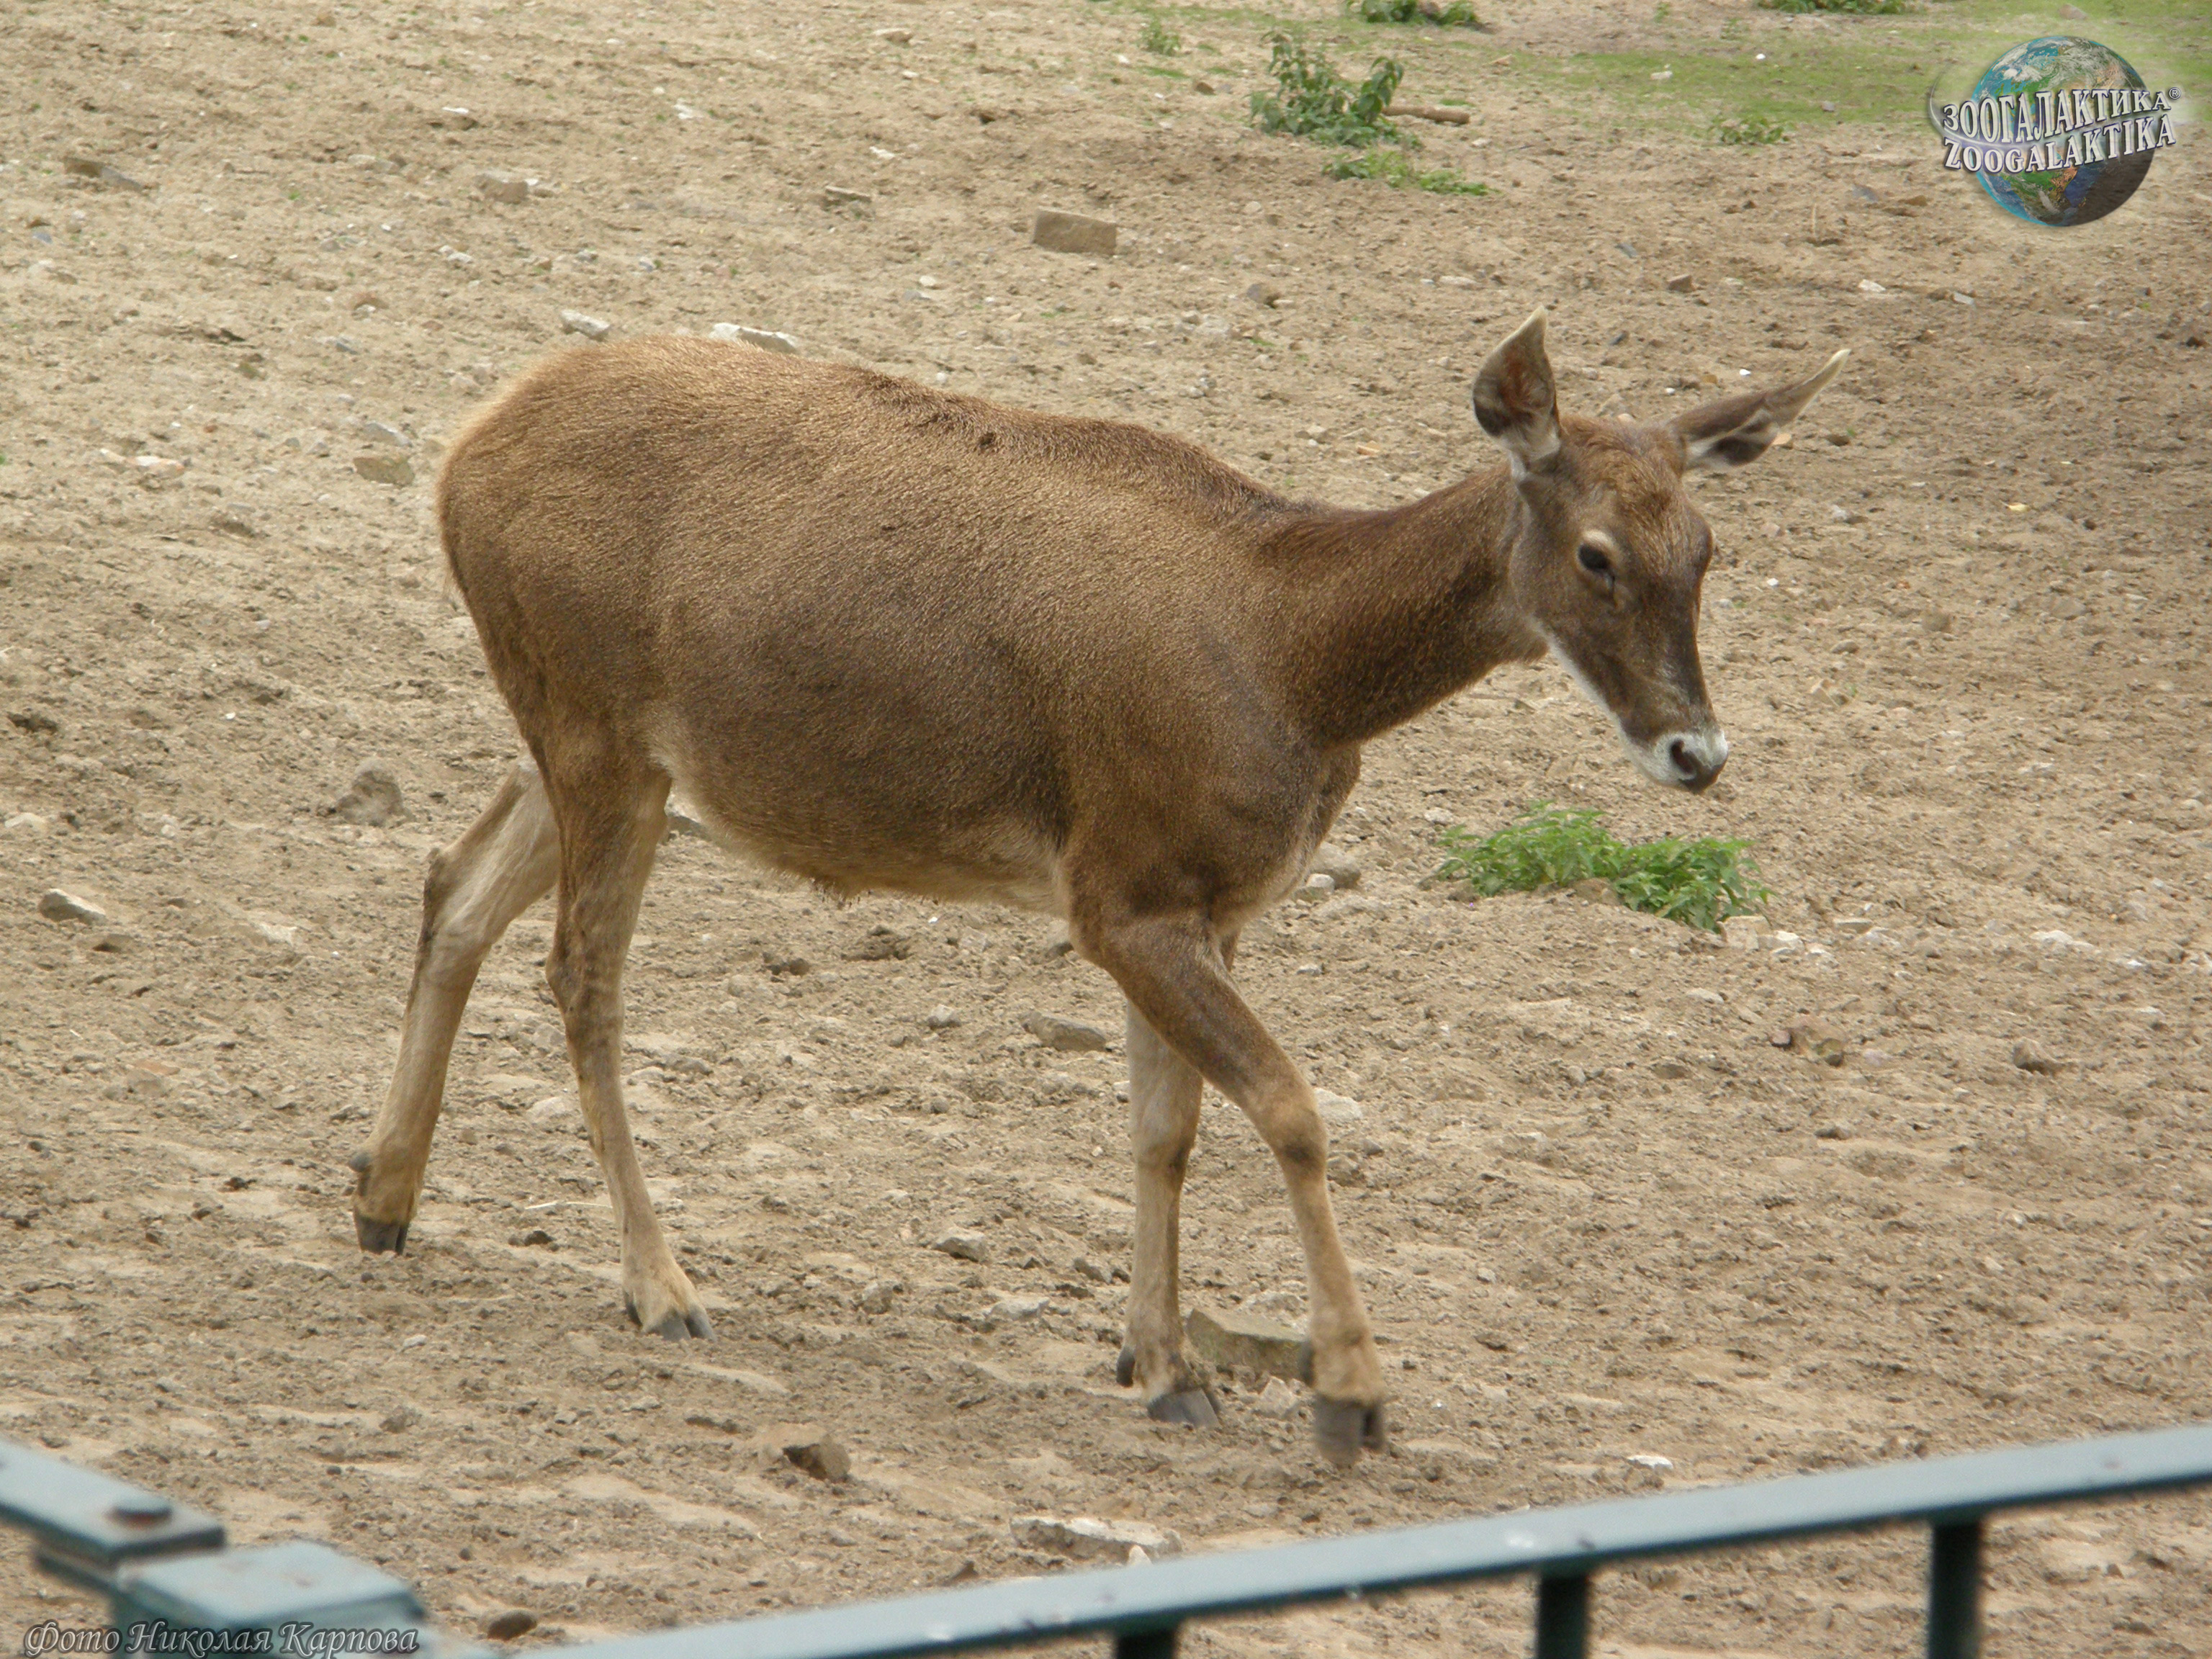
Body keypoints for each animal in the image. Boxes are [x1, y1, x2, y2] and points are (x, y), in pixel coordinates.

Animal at [347, 308, 1845, 1466]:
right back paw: (660, 1285)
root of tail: (460, 453)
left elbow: (1163, 1128)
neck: (1295, 662)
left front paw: (1164, 1362)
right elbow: (1289, 1106)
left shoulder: (1203, 902)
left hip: (593, 734)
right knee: (581, 971)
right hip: (595, 719)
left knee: (453, 881)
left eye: (1706, 548)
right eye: (1595, 553)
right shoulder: (1115, 884)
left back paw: (383, 1194)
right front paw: (1350, 1390)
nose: (1696, 751)